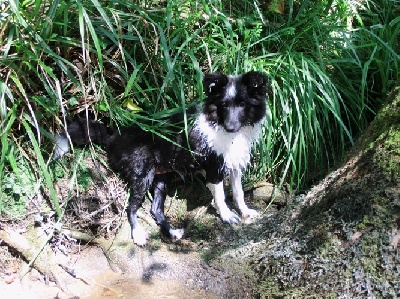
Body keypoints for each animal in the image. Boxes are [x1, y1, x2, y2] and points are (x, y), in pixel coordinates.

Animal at [55, 71, 268, 246]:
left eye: (242, 104)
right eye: (224, 104)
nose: (231, 127)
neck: (220, 125)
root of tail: (116, 135)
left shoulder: (234, 165)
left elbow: (239, 193)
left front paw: (245, 212)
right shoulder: (214, 169)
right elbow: (221, 196)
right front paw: (227, 216)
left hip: (161, 179)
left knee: (155, 209)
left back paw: (172, 233)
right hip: (142, 176)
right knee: (131, 208)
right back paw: (138, 235)